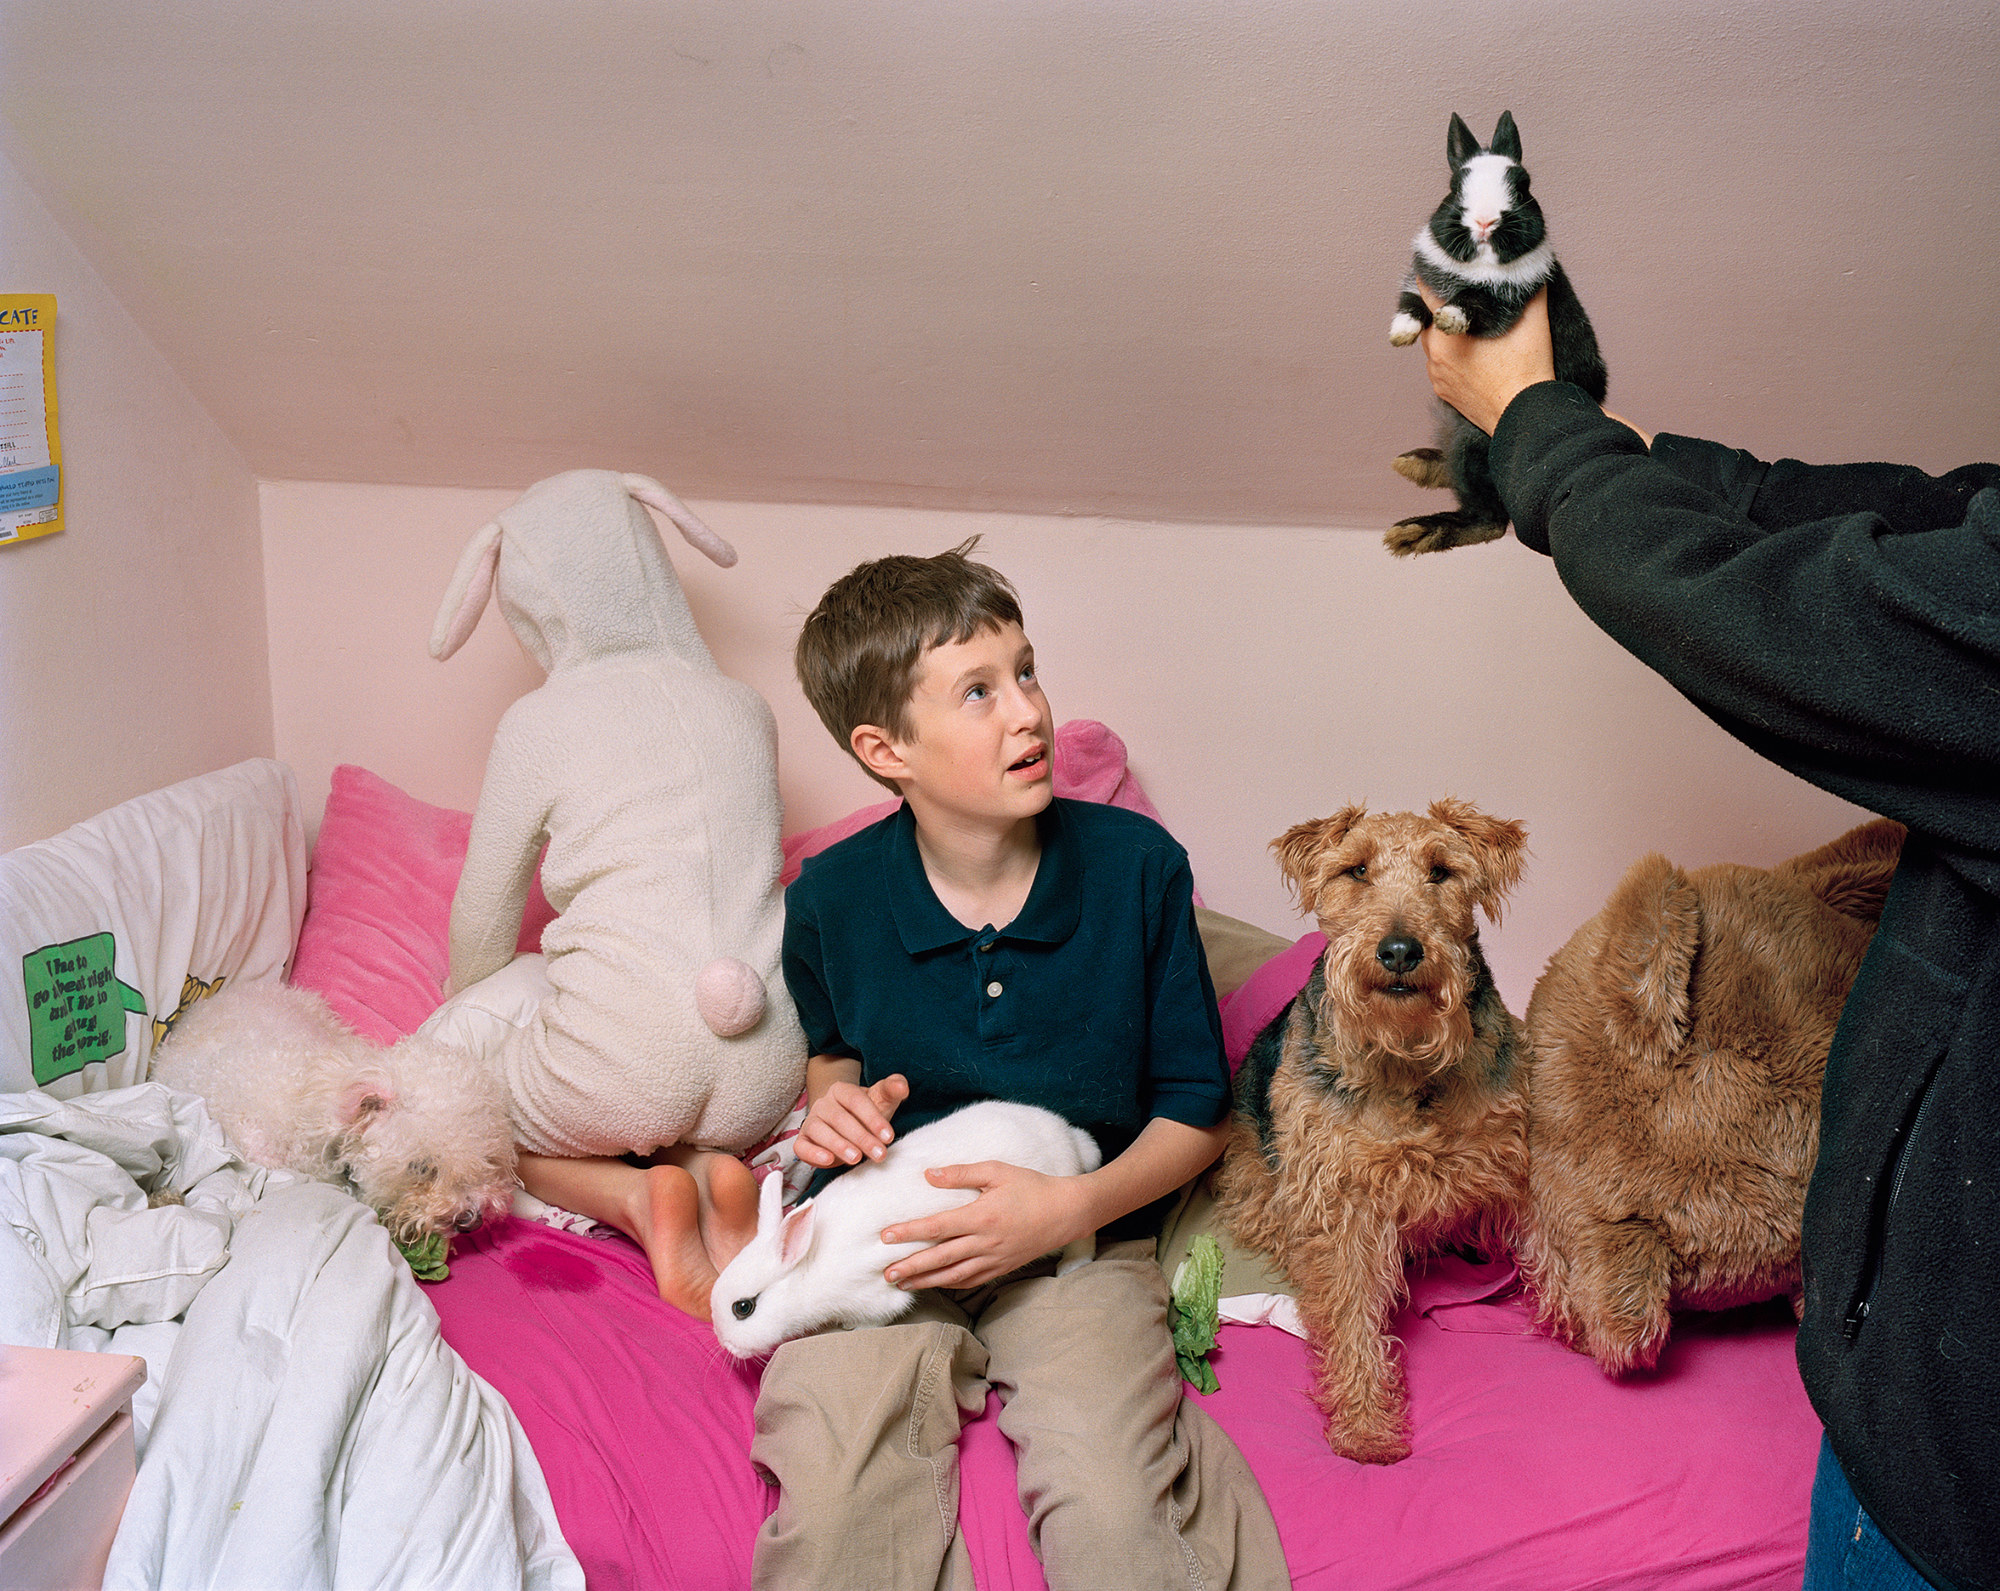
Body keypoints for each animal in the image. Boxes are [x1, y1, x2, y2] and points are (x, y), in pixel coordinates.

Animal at [708, 1103, 1112, 1351]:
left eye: (743, 1308)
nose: (724, 1342)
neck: (809, 1264)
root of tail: (1070, 1138)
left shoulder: (875, 1294)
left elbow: (879, 1317)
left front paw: (849, 1330)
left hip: (1059, 1205)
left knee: (1082, 1229)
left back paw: (1072, 1267)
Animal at [1208, 803, 1520, 1463]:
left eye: (1441, 871)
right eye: (1355, 870)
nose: (1399, 951)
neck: (1405, 1057)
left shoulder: (1508, 1159)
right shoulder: (1341, 1202)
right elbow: (1351, 1314)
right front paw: (1367, 1429)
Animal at [1384, 108, 1600, 555]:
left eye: (1523, 185)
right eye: (1454, 186)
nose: (1484, 221)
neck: (1476, 269)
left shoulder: (1503, 304)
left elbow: (1473, 305)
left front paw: (1449, 319)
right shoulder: (1419, 284)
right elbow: (1411, 304)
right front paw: (1401, 333)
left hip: (1474, 449)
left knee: (1491, 522)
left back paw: (1419, 529)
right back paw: (1417, 464)